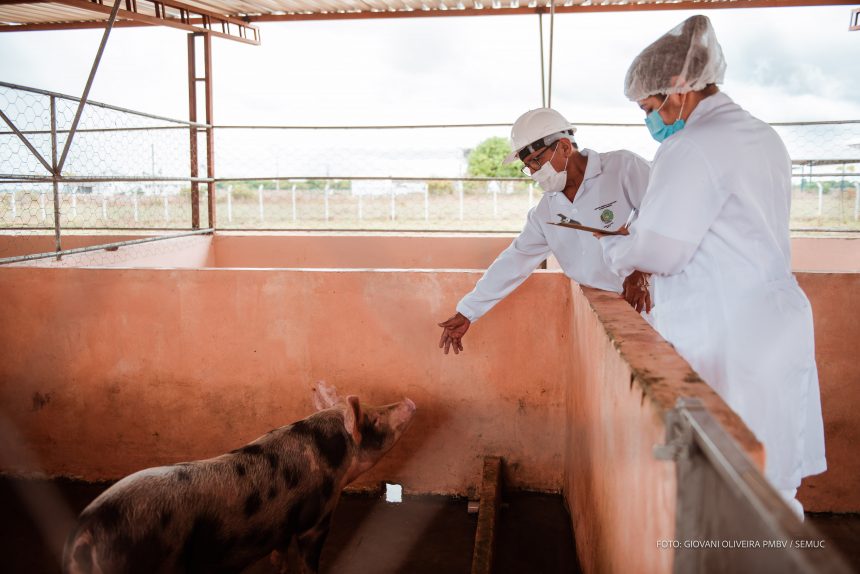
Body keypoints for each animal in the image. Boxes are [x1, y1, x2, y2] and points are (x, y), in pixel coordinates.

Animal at [61, 382, 416, 574]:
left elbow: (280, 546)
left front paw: (278, 564)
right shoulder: (316, 518)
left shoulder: (282, 520)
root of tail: (86, 531)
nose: (410, 401)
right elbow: (308, 558)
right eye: (373, 419)